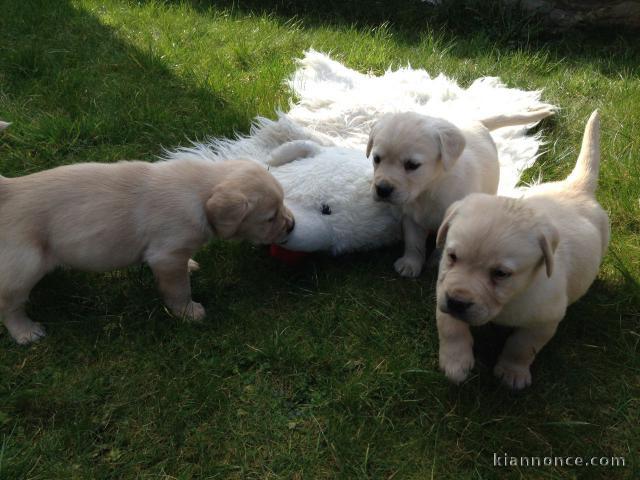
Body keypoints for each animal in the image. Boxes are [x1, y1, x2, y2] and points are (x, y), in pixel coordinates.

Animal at [0, 120, 294, 344]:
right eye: (270, 218)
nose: (291, 225)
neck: (199, 191)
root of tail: (9, 190)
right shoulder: (166, 255)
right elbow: (178, 289)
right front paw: (189, 313)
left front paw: (190, 265)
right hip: (24, 265)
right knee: (9, 304)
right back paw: (26, 332)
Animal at [364, 106, 556, 276]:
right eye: (376, 159)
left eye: (412, 165)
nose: (382, 189)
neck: (429, 189)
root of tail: (476, 121)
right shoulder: (411, 217)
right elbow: (413, 242)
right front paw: (410, 264)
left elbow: (443, 246)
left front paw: (436, 262)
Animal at [432, 112, 608, 390]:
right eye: (452, 257)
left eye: (501, 274)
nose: (457, 302)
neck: (510, 300)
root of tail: (575, 187)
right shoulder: (443, 288)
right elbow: (450, 327)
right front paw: (455, 363)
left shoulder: (545, 319)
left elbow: (522, 346)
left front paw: (512, 372)